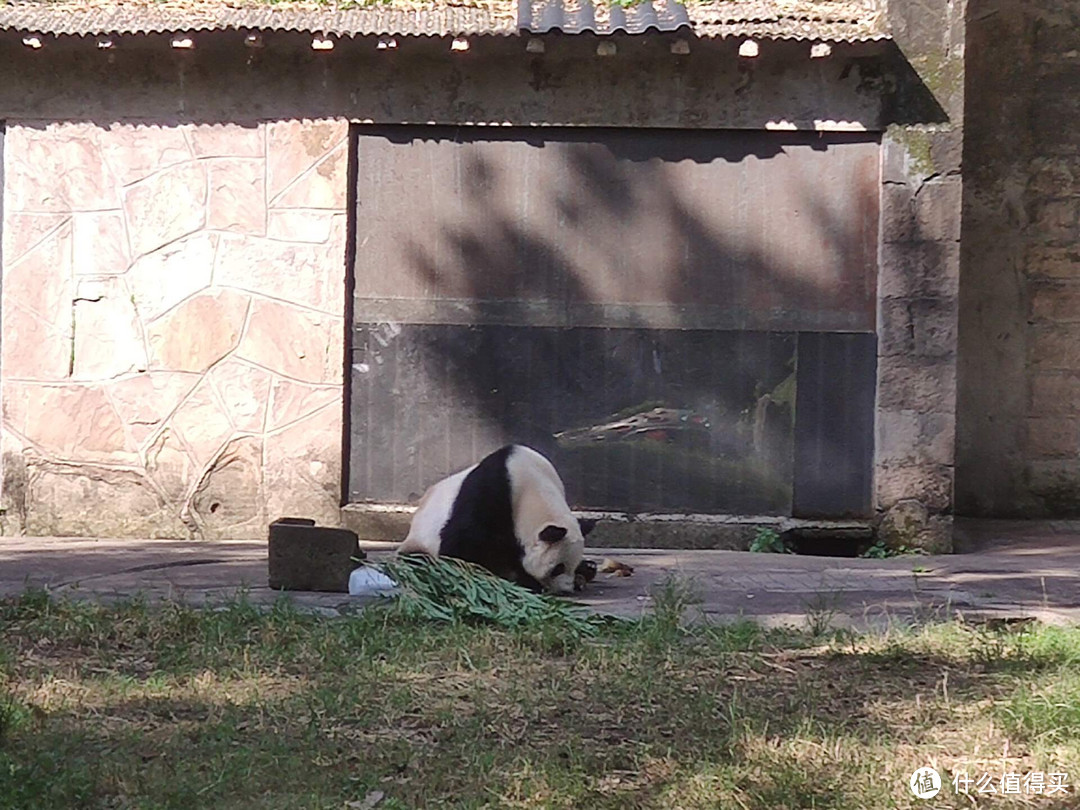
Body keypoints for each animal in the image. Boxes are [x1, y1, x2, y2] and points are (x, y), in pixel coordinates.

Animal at [399, 444, 600, 596]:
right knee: (419, 558)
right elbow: (464, 541)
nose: (566, 589)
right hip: (420, 540)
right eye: (558, 567)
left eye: (571, 565)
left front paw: (582, 569)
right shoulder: (489, 492)